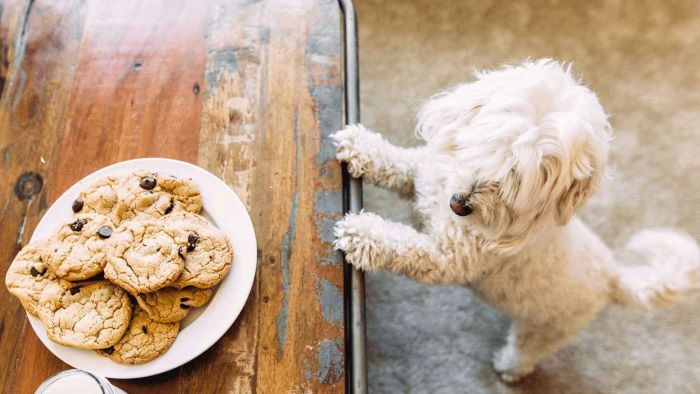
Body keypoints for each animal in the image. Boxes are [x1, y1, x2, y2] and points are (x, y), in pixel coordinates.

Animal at [330, 58, 696, 382]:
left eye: (518, 176)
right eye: (491, 144)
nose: (460, 204)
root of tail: (611, 275)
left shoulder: (448, 259)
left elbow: (404, 245)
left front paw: (362, 234)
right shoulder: (424, 178)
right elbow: (401, 164)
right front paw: (360, 146)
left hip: (546, 329)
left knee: (528, 350)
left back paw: (509, 368)